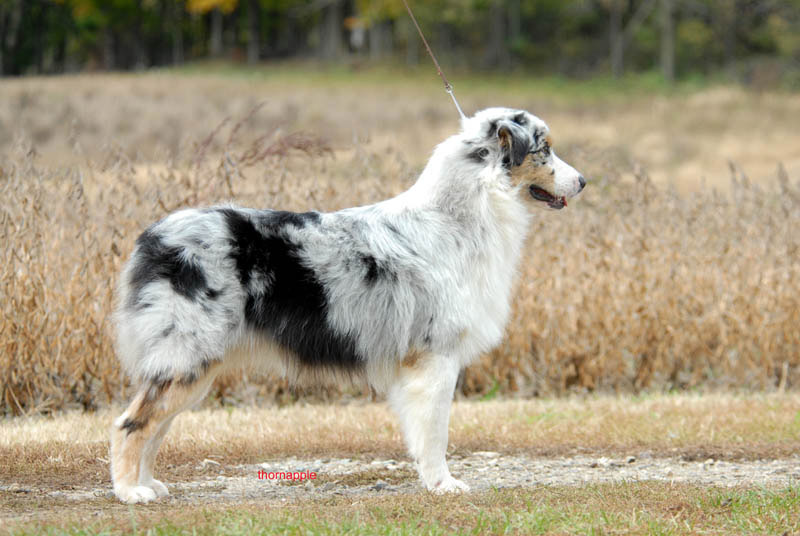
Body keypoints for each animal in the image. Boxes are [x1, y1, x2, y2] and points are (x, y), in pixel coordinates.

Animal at [109, 107, 585, 504]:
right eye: (544, 149)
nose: (583, 181)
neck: (461, 216)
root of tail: (152, 237)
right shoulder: (435, 357)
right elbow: (435, 433)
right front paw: (443, 484)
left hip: (191, 366)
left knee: (155, 426)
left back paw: (149, 484)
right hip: (185, 358)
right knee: (131, 424)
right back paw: (130, 492)